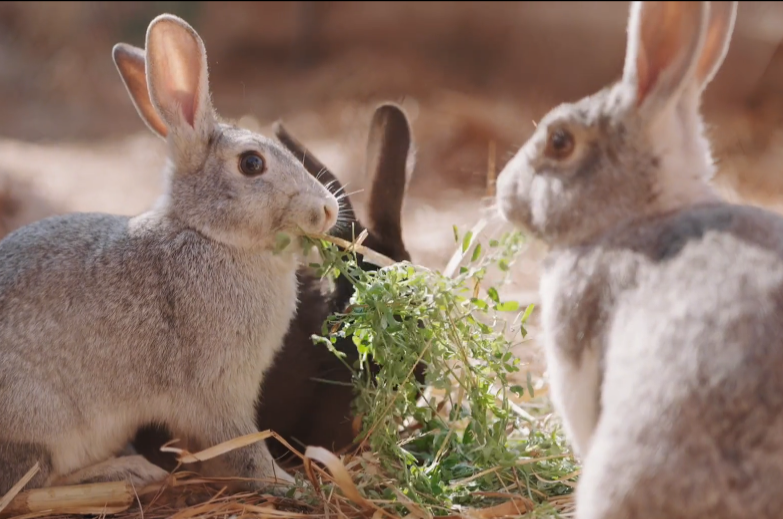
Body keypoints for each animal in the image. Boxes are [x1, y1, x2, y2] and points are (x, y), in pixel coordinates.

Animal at [0, 13, 338, 496]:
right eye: (252, 164)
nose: (328, 210)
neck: (208, 235)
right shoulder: (217, 391)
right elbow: (243, 447)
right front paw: (291, 485)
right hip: (42, 423)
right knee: (32, 482)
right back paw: (127, 472)